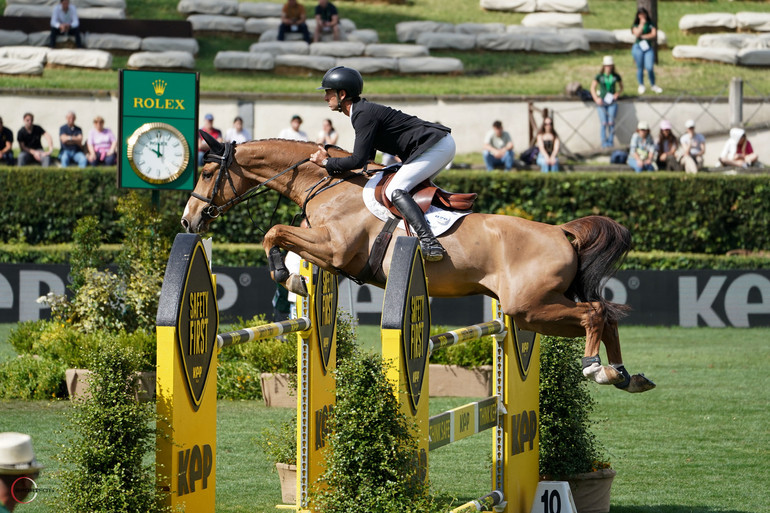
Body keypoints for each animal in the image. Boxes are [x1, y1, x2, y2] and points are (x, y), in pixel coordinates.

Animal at [182, 134, 655, 393]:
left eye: (205, 173)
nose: (188, 220)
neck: (326, 185)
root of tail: (562, 232)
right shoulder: (328, 253)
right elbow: (278, 234)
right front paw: (293, 280)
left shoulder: (334, 250)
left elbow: (273, 232)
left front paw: (288, 278)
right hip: (538, 310)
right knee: (605, 315)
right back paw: (624, 374)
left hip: (529, 307)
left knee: (594, 313)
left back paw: (596, 369)